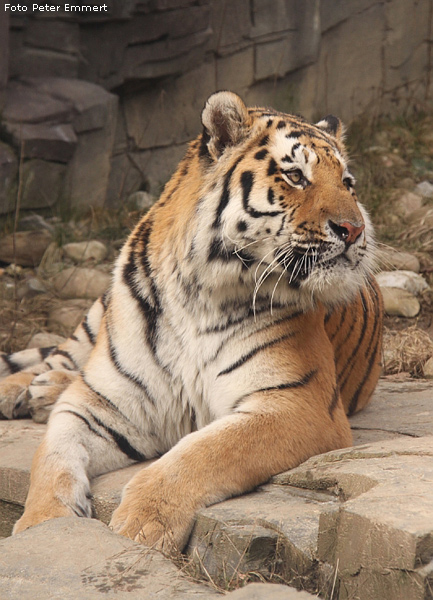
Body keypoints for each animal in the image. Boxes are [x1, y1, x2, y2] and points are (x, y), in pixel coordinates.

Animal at [2, 91, 382, 552]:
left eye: (348, 183)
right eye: (295, 176)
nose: (354, 229)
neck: (198, 294)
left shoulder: (296, 403)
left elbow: (201, 453)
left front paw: (142, 524)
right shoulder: (99, 405)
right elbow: (51, 458)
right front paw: (43, 525)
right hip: (97, 313)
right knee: (60, 357)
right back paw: (28, 390)